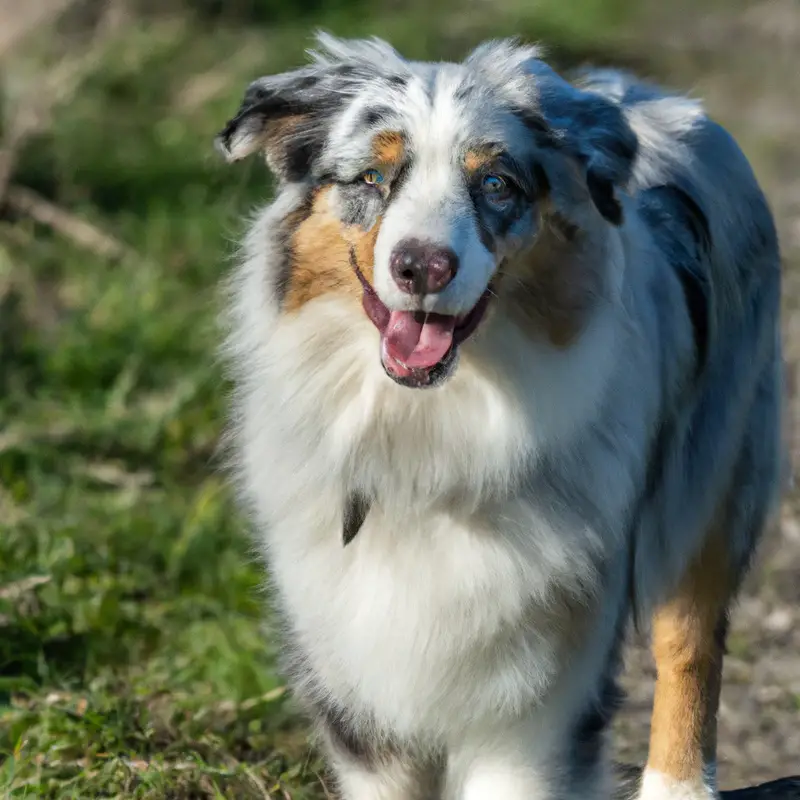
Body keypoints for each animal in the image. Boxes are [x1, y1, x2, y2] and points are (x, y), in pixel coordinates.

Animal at [212, 32, 780, 800]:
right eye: (371, 178)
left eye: (497, 185)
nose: (423, 266)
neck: (424, 433)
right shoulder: (360, 689)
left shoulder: (535, 698)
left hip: (714, 474)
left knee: (690, 640)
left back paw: (678, 784)